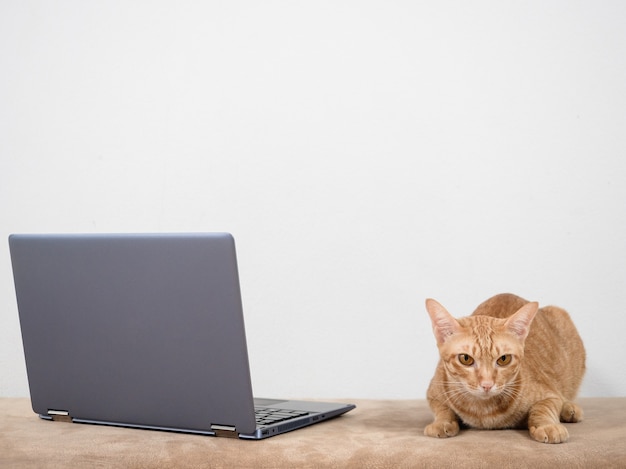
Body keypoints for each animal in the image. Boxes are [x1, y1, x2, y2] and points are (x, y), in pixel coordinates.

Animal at [424, 292, 584, 442]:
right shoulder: (434, 392)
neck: (483, 411)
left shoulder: (551, 394)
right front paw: (442, 422)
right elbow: (442, 409)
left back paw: (569, 409)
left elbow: (543, 408)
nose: (487, 385)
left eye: (503, 359)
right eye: (466, 359)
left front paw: (547, 425)